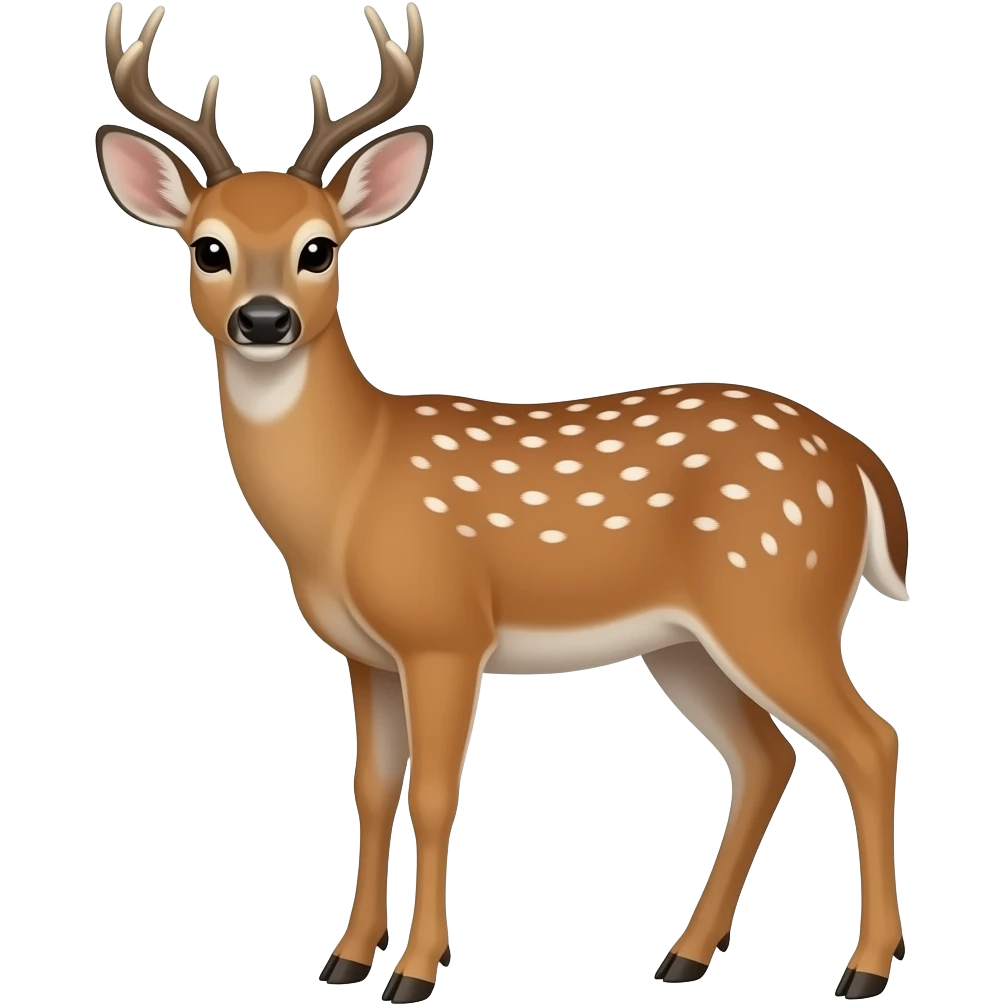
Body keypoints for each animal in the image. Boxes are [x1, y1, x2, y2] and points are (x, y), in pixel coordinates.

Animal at [94, 3, 910, 1001]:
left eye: (319, 248)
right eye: (207, 247)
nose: (263, 319)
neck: (350, 487)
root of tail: (859, 460)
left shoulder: (446, 629)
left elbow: (435, 792)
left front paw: (414, 971)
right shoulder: (366, 654)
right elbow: (371, 788)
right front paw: (345, 957)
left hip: (777, 599)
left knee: (868, 741)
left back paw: (862, 967)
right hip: (685, 641)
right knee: (765, 755)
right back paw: (682, 953)